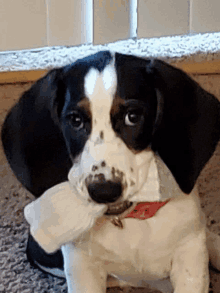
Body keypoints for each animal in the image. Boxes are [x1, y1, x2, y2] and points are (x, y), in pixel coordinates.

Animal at [1, 51, 220, 290]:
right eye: (75, 120)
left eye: (132, 117)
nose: (103, 191)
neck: (130, 220)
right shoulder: (81, 265)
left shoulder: (189, 257)